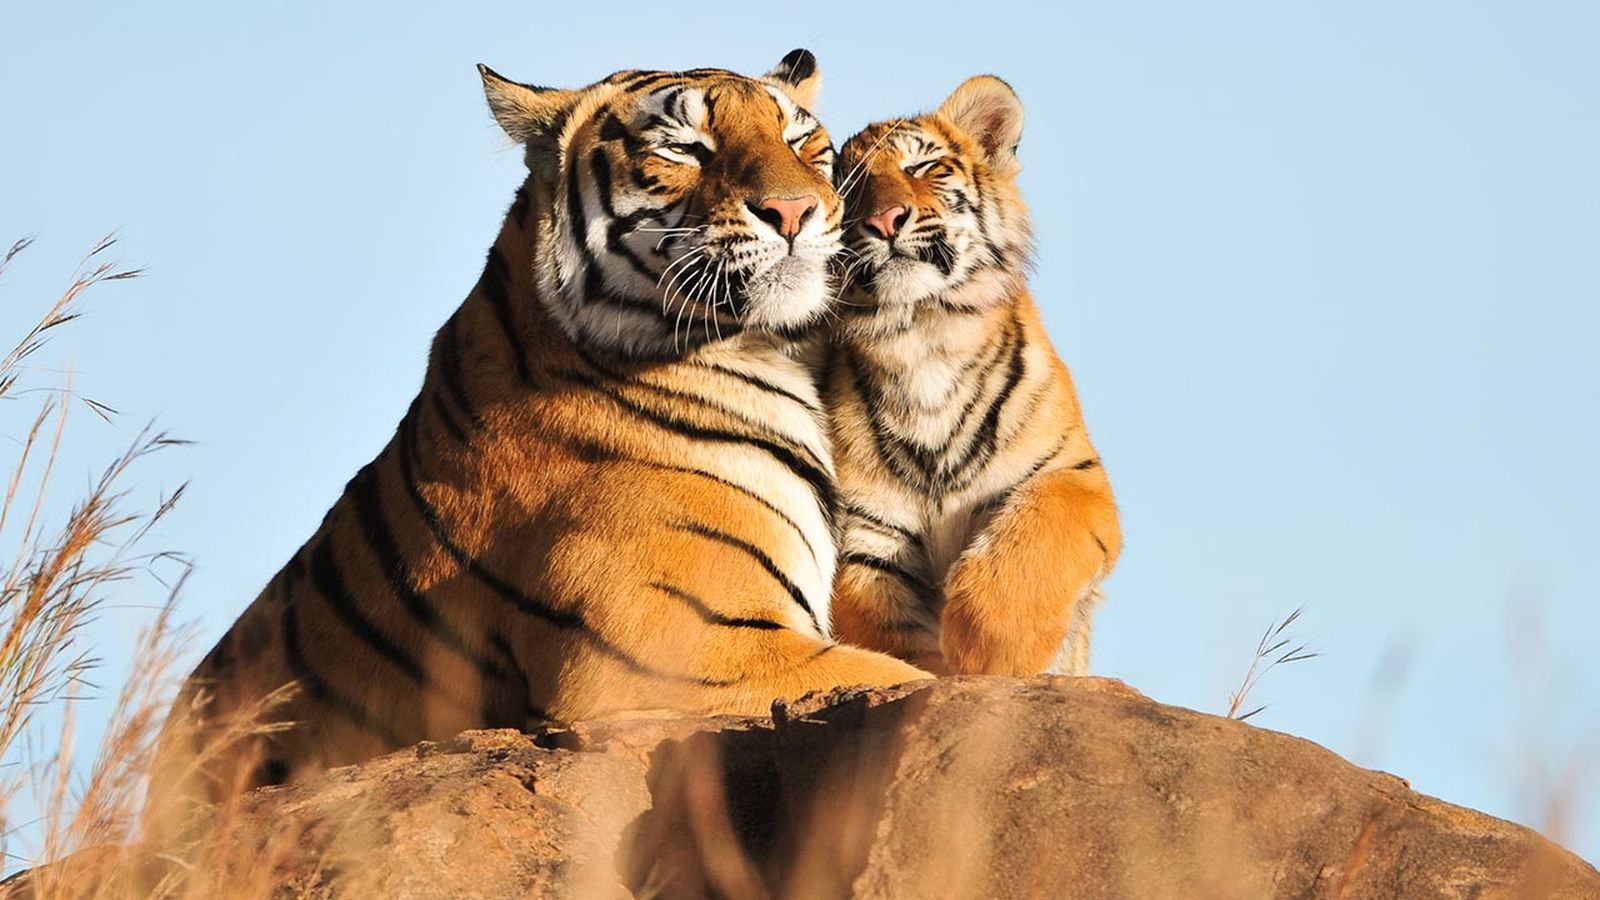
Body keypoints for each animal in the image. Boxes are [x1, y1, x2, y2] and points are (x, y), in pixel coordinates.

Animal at [824, 76, 1123, 677]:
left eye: (922, 166)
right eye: (846, 187)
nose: (885, 221)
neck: (923, 336)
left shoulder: (1073, 474)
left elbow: (1037, 533)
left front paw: (989, 652)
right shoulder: (865, 529)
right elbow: (883, 630)